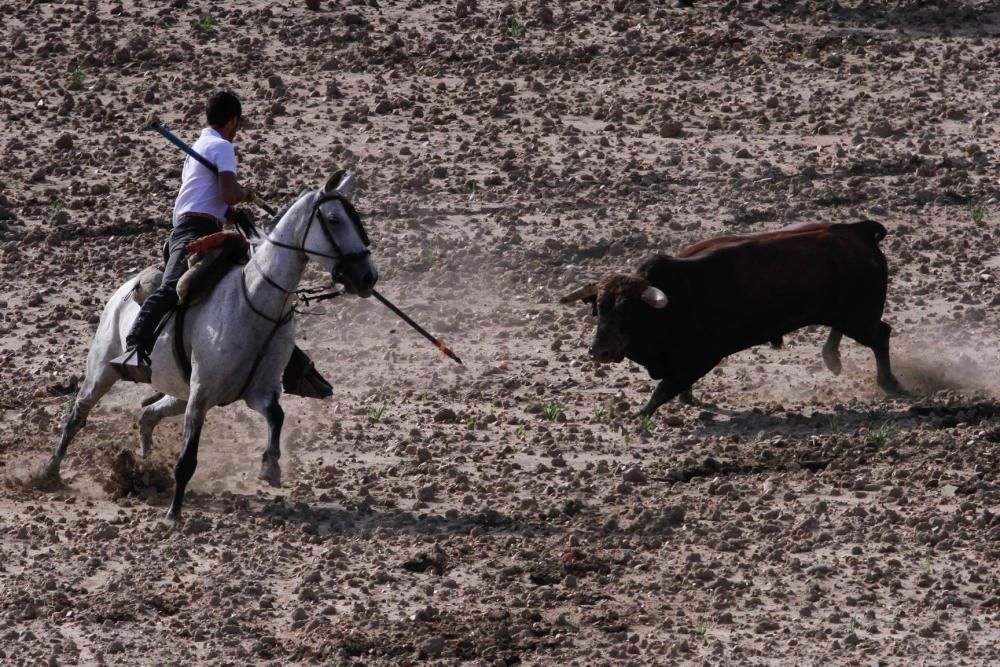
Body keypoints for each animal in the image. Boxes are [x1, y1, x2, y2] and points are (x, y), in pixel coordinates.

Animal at [46, 170, 378, 520]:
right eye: (334, 219)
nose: (367, 277)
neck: (253, 302)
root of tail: (122, 291)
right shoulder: (201, 394)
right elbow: (187, 459)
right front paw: (174, 514)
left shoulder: (259, 391)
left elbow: (277, 416)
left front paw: (270, 467)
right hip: (102, 372)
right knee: (76, 416)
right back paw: (50, 474)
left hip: (176, 391)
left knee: (147, 415)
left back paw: (145, 467)